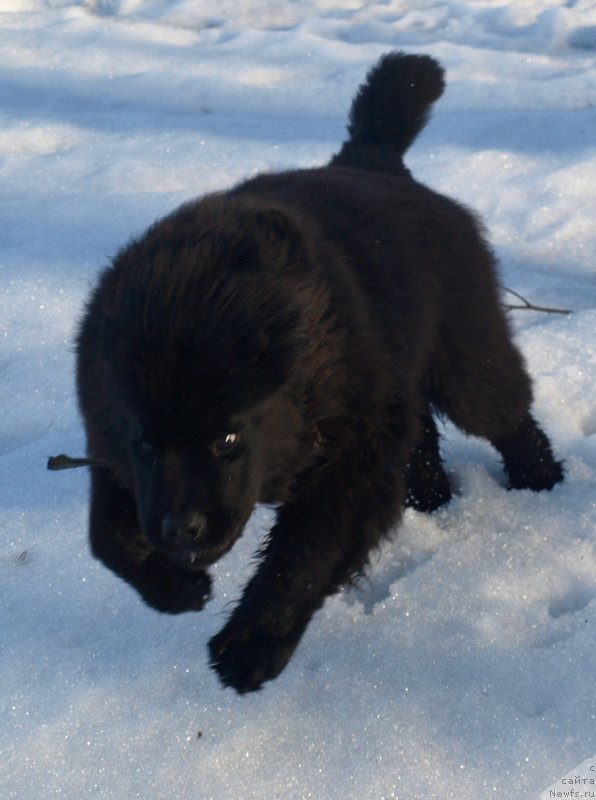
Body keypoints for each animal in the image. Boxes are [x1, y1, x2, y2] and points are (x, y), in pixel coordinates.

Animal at [75, 53, 564, 692]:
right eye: (147, 443)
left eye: (227, 438)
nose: (181, 530)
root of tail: (371, 161)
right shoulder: (109, 437)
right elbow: (105, 535)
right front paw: (175, 587)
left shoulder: (352, 449)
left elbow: (306, 551)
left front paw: (254, 642)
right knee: (421, 430)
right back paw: (431, 497)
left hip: (465, 357)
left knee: (504, 411)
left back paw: (541, 482)